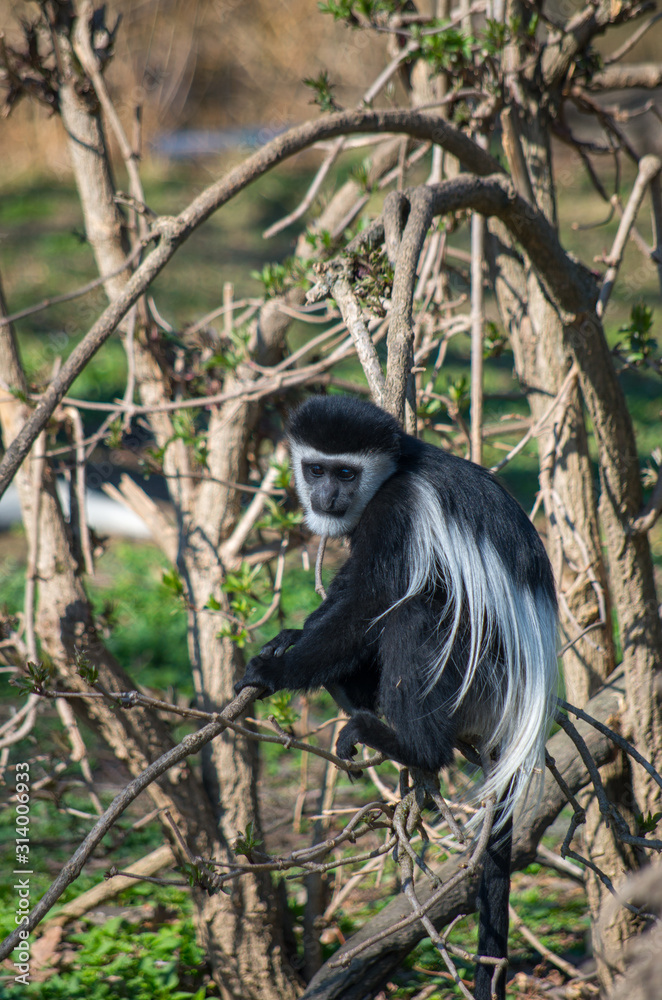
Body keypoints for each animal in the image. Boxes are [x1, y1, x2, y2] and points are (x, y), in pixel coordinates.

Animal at [239, 394, 560, 996]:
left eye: (346, 473)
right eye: (315, 469)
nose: (327, 498)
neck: (396, 468)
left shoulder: (396, 512)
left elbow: (371, 597)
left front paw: (279, 671)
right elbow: (349, 590)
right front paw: (290, 636)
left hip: (478, 679)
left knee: (414, 612)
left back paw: (408, 746)